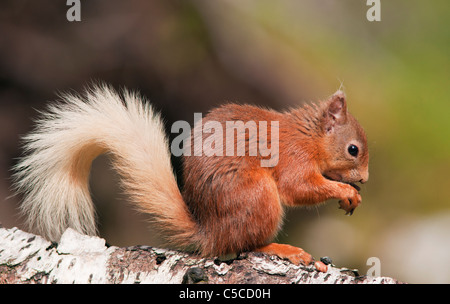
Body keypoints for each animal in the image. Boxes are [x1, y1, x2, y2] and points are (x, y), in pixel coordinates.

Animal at [12, 84, 368, 270]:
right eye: (353, 149)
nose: (364, 179)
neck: (310, 137)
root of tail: (210, 233)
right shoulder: (294, 157)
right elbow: (299, 188)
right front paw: (346, 192)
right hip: (258, 197)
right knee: (246, 246)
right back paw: (282, 249)